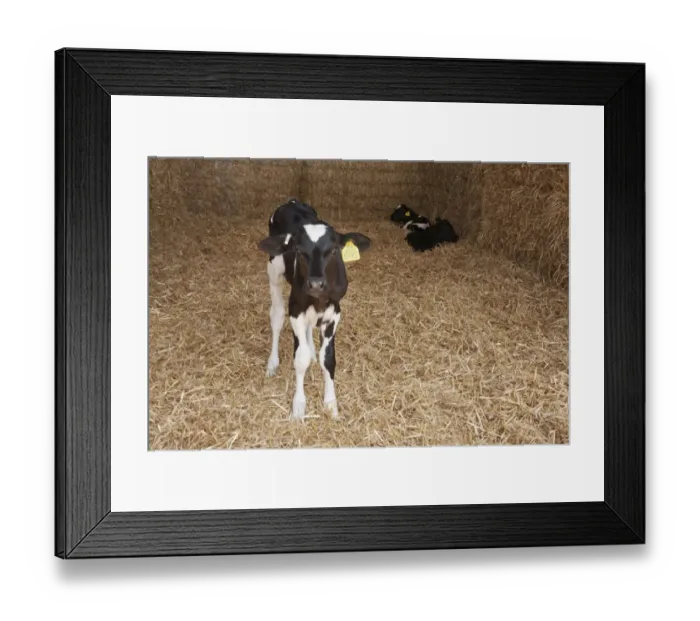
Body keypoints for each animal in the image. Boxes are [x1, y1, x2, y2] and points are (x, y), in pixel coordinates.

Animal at [258, 198, 371, 420]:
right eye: (299, 251)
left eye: (334, 250)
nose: (316, 284)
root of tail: (291, 201)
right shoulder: (296, 309)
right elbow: (300, 360)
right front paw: (298, 407)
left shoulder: (334, 313)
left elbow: (327, 360)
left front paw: (331, 405)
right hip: (274, 272)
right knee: (276, 316)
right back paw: (272, 363)